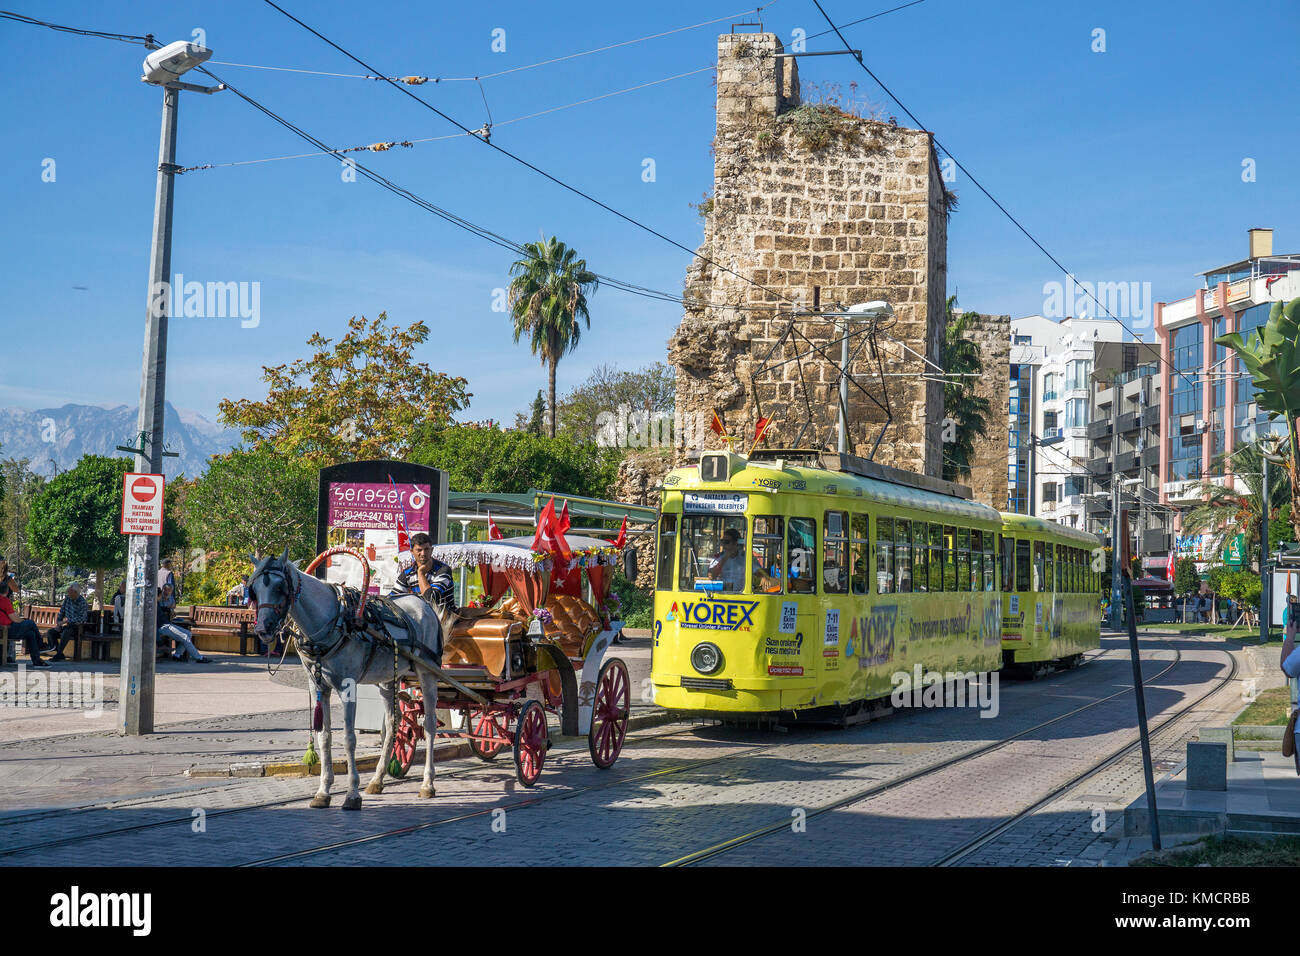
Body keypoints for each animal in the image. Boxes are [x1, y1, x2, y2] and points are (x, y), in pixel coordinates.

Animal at [246, 548, 452, 811]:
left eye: (281, 587)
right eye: (254, 589)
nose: (263, 628)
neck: (334, 621)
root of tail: (424, 603)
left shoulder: (348, 686)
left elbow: (348, 738)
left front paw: (352, 794)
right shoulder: (318, 686)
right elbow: (324, 737)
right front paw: (323, 791)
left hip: (428, 674)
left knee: (430, 725)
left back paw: (427, 783)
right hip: (388, 680)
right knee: (392, 725)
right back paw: (377, 780)